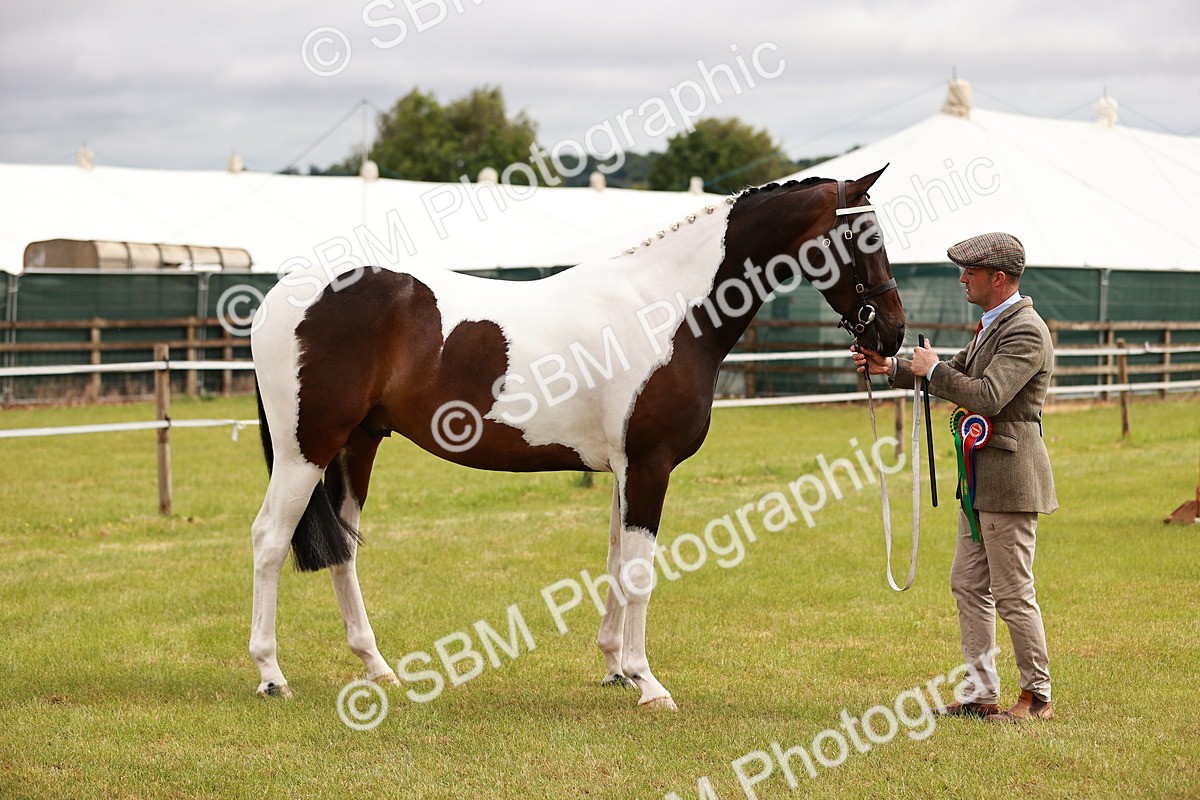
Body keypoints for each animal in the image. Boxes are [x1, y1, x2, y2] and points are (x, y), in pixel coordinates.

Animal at [248, 167, 906, 709]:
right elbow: (639, 572)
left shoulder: (624, 469)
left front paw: (617, 669)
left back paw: (377, 667)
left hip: (357, 444)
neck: (664, 310)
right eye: (863, 238)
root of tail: (280, 296)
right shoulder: (649, 465)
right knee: (270, 540)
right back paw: (272, 675)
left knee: (343, 548)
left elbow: (616, 560)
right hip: (306, 449)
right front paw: (650, 684)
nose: (894, 334)